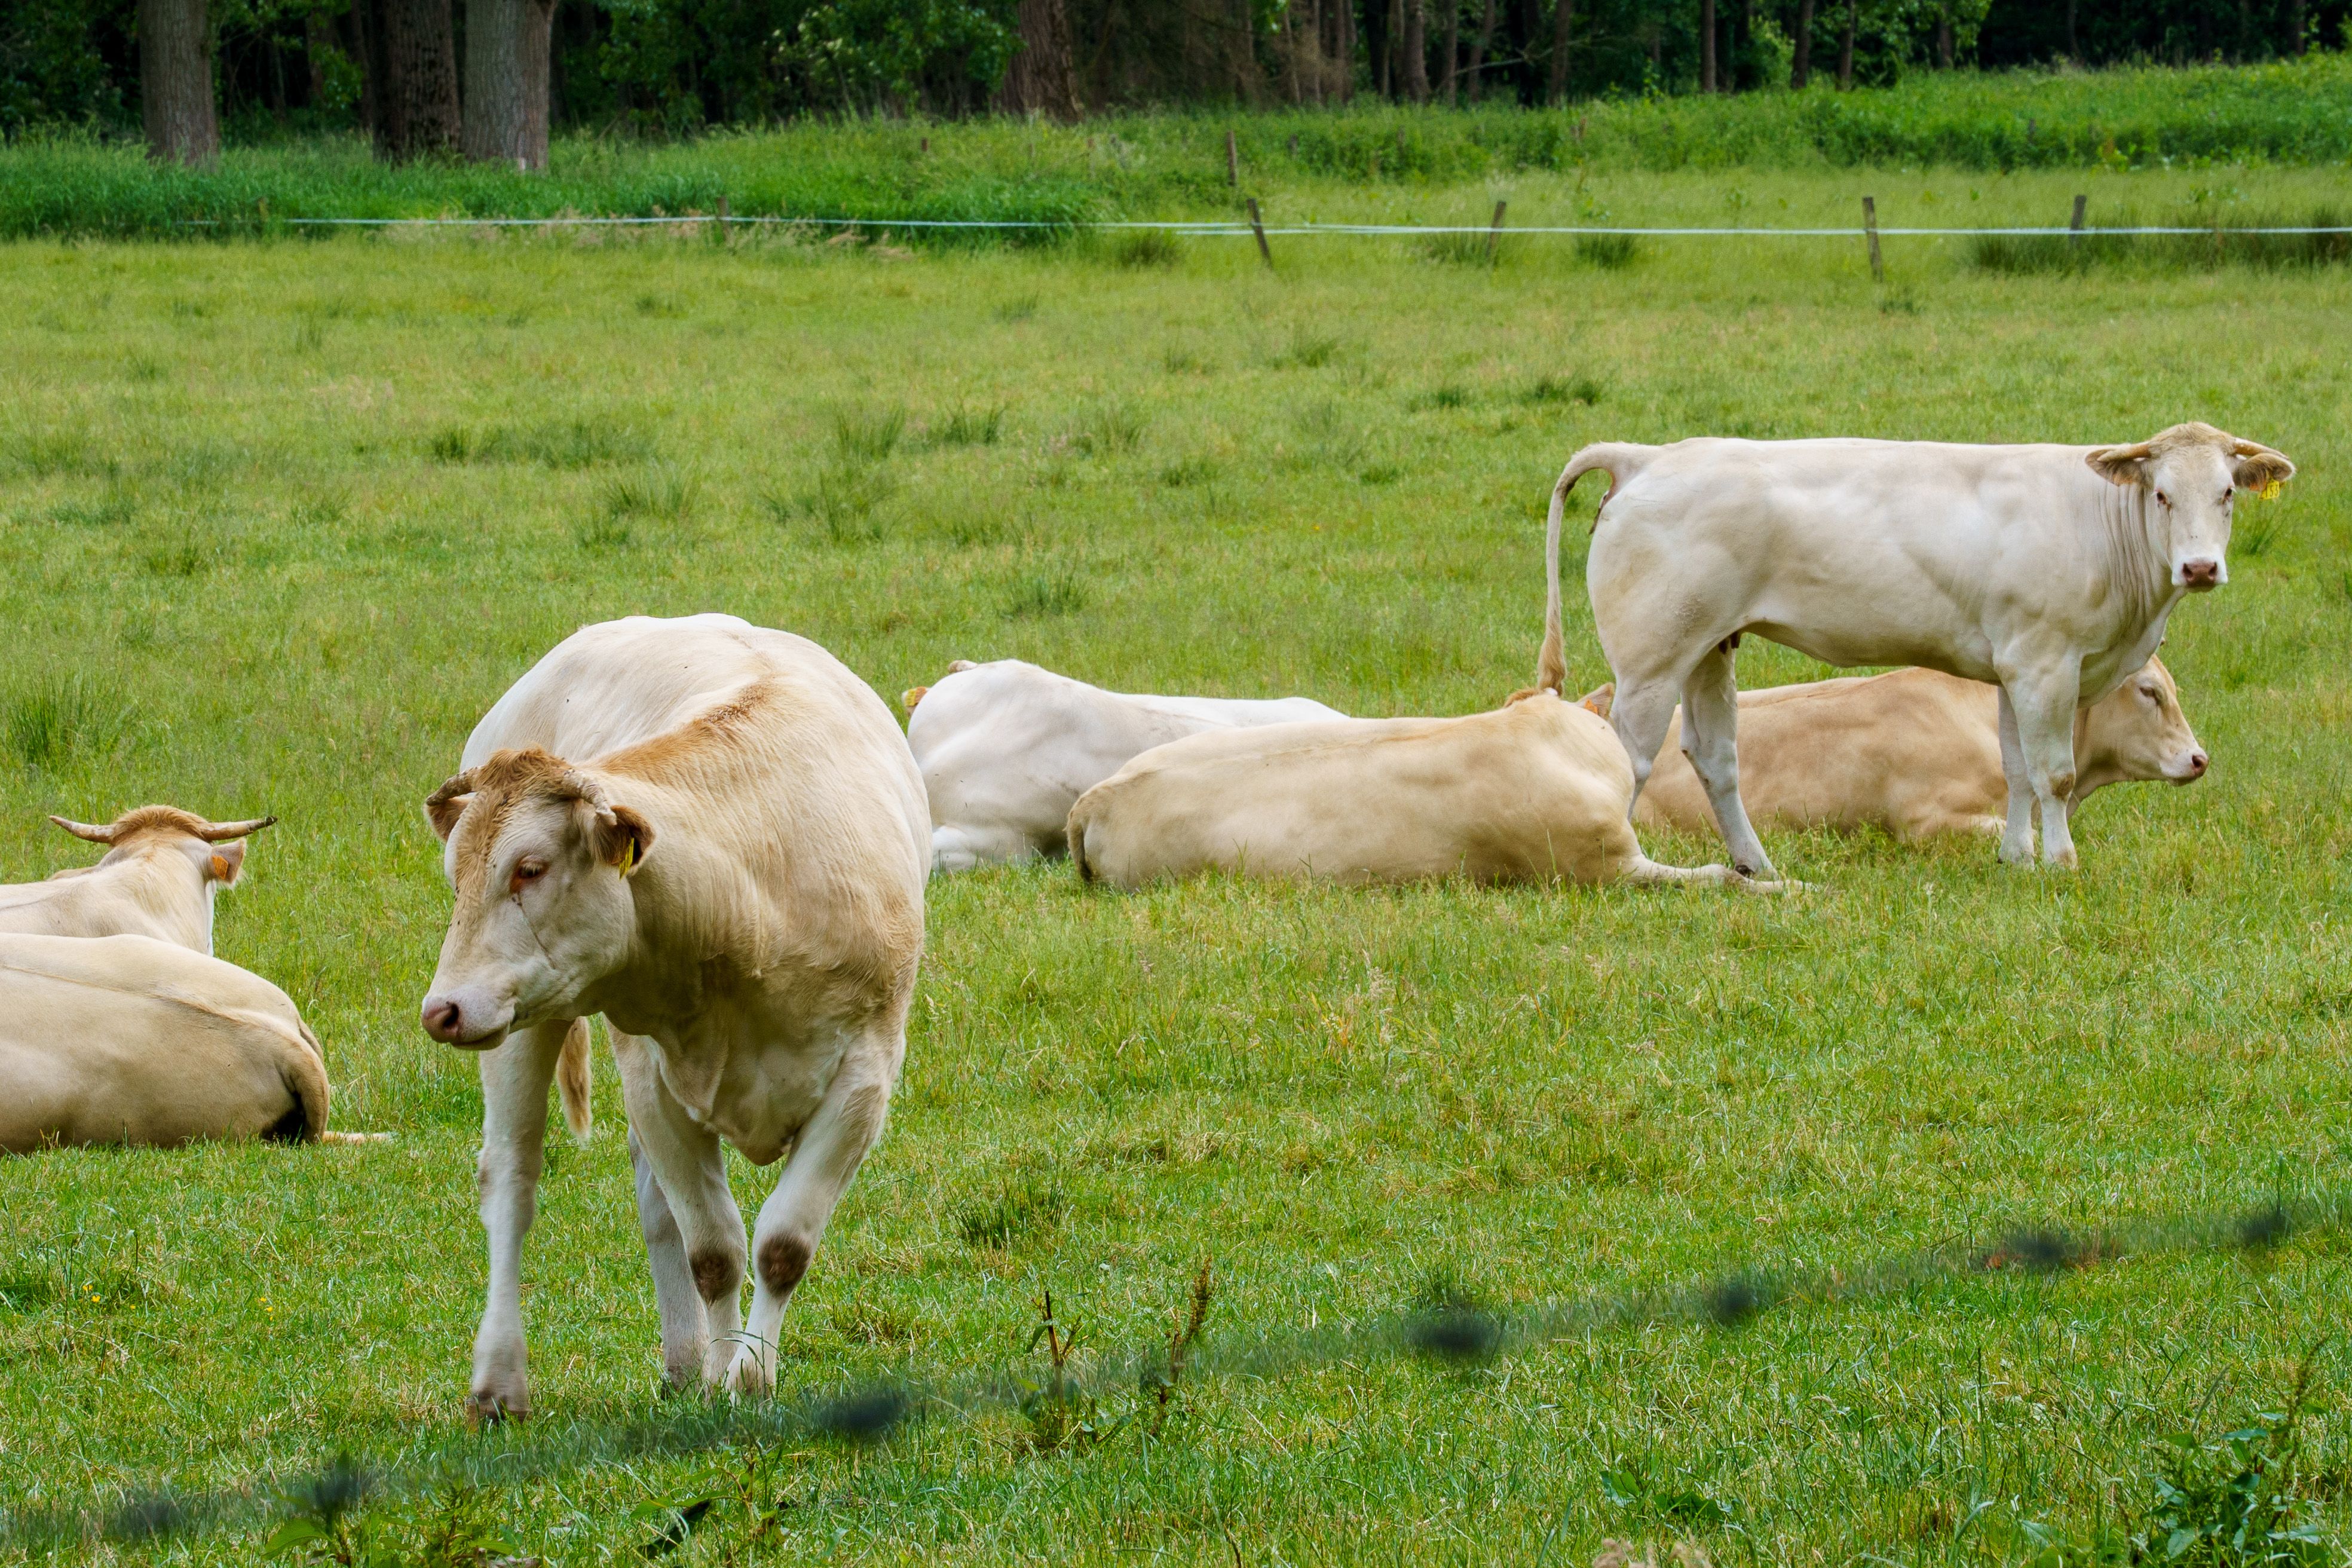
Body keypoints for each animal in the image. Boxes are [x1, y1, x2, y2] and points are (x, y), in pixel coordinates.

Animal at [419, 614, 928, 1419]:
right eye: (457, 879)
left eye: (529, 868)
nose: (440, 1009)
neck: (753, 892)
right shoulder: (654, 1082)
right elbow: (715, 1249)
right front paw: (733, 1375)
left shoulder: (865, 1079)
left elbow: (782, 1244)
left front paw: (746, 1374)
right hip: (519, 1026)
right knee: (512, 1180)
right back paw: (500, 1380)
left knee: (654, 1204)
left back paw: (684, 1363)